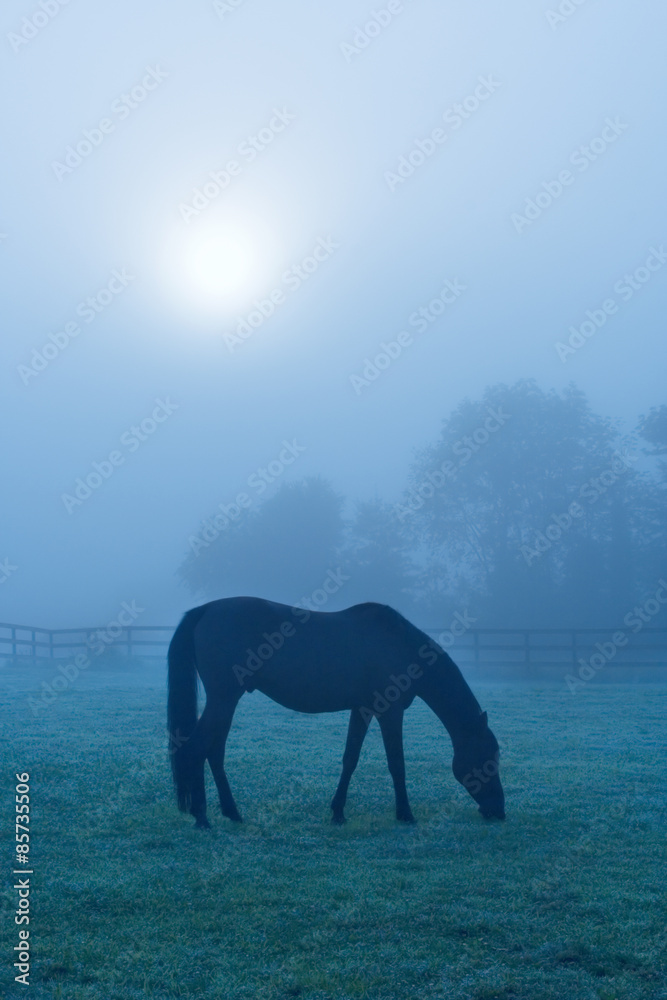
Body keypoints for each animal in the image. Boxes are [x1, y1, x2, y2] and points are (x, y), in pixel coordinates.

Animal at [167, 597, 505, 828]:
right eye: (490, 757)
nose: (499, 810)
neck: (402, 645)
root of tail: (205, 610)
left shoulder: (363, 709)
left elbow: (350, 759)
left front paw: (338, 812)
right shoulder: (390, 712)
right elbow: (397, 764)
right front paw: (405, 815)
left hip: (226, 701)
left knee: (213, 753)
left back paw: (231, 812)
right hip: (224, 699)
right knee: (196, 749)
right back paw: (202, 817)